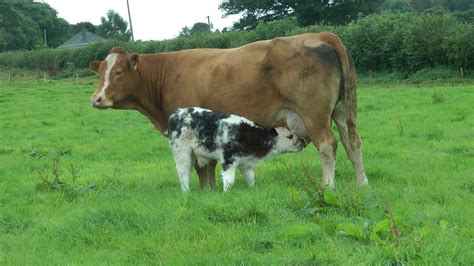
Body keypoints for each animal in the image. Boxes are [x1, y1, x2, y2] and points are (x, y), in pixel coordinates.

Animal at [168, 107, 306, 192]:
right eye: (289, 136)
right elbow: (229, 179)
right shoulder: (229, 159)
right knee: (183, 171)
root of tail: (177, 112)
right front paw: (225, 193)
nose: (302, 142)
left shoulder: (246, 162)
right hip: (182, 151)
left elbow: (250, 177)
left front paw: (252, 189)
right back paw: (186, 192)